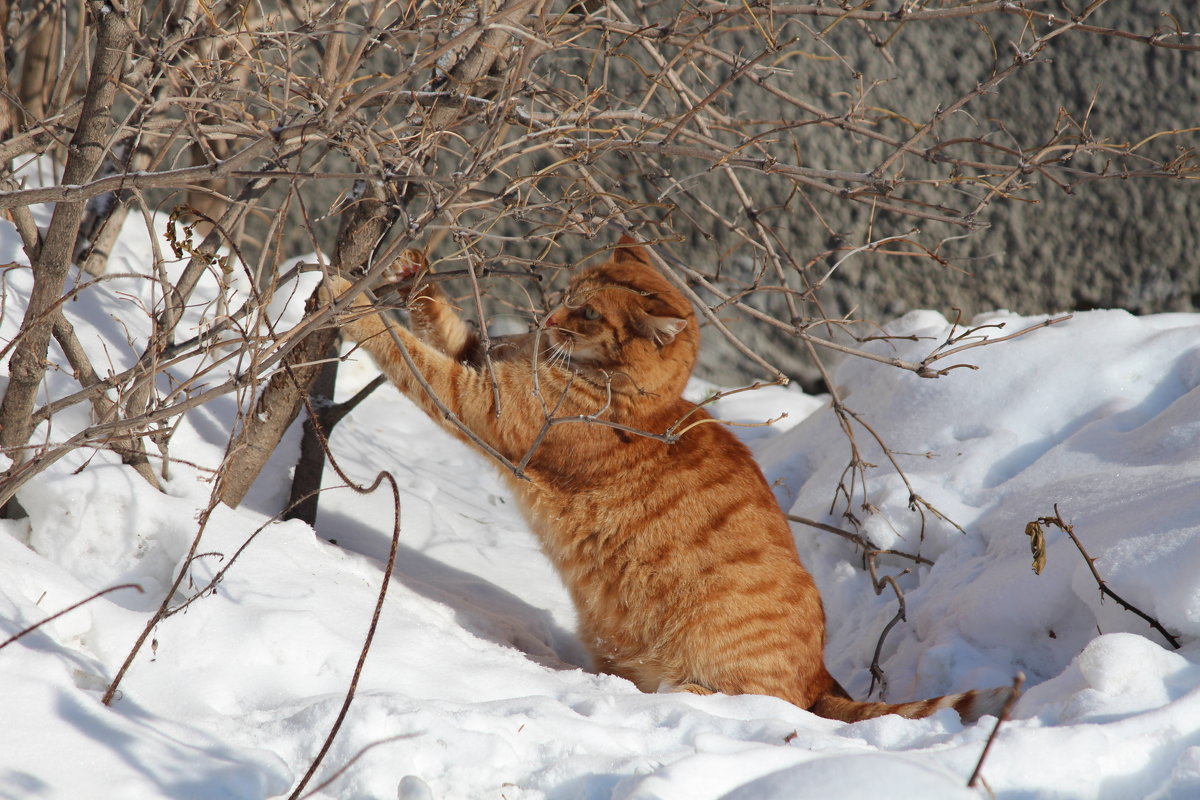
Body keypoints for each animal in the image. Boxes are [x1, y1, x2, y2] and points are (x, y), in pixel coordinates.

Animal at [324, 239, 1008, 724]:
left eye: (587, 312)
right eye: (567, 291)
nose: (547, 317)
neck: (636, 403)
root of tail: (822, 673)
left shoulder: (486, 410)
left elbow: (411, 354)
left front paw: (346, 298)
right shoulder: (490, 364)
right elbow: (446, 324)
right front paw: (410, 270)